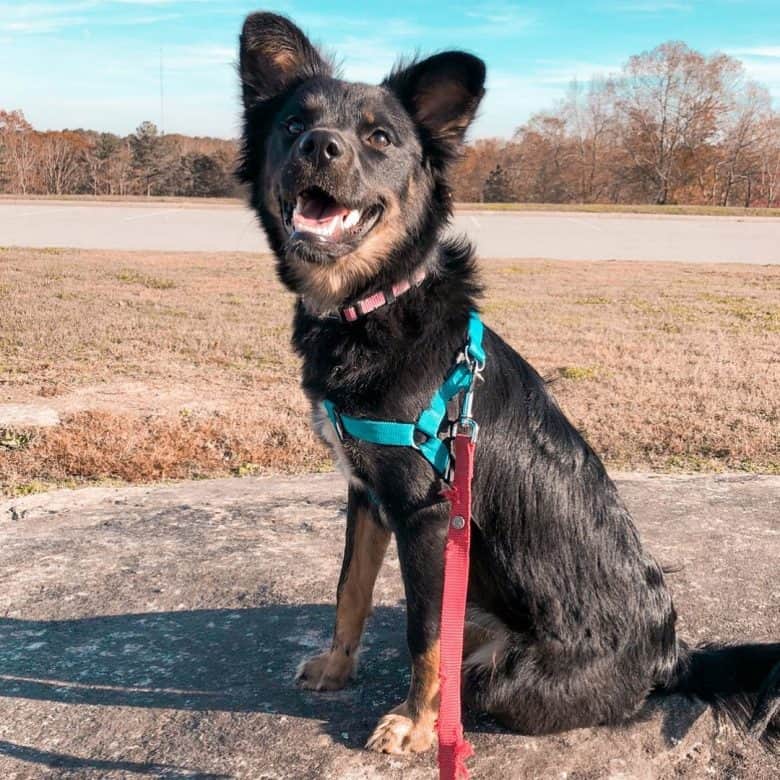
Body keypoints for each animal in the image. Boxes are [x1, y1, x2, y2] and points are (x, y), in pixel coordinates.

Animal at [238, 10, 780, 756]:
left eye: (379, 138)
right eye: (294, 124)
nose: (320, 147)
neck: (375, 304)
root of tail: (672, 657)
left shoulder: (429, 516)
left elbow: (423, 637)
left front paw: (417, 725)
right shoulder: (366, 493)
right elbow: (351, 592)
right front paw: (338, 667)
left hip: (508, 673)